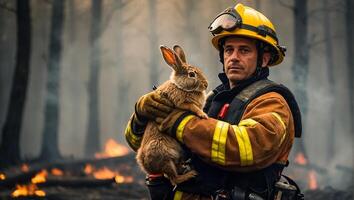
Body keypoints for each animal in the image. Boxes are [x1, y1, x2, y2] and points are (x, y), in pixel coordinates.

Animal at [135, 45, 207, 186]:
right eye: (192, 74)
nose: (206, 84)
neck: (180, 86)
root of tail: (145, 165)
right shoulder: (182, 103)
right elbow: (193, 107)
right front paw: (203, 115)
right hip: (165, 157)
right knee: (174, 178)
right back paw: (190, 174)